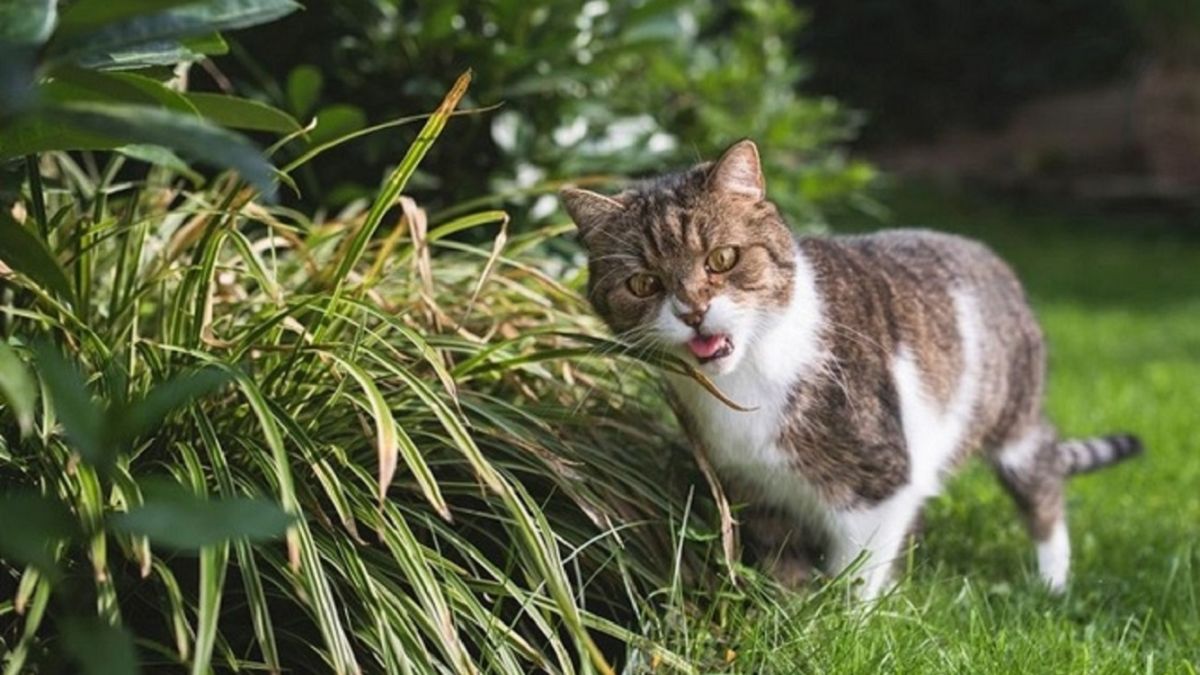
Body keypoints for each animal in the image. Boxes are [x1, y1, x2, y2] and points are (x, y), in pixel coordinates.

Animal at [561, 139, 1142, 595]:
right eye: (644, 284)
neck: (745, 385)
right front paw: (790, 612)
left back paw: (1052, 582)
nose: (693, 311)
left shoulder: (879, 482)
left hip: (1014, 419)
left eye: (723, 259)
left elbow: (855, 571)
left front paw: (842, 622)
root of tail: (987, 254)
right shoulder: (755, 490)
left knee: (1042, 480)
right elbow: (783, 565)